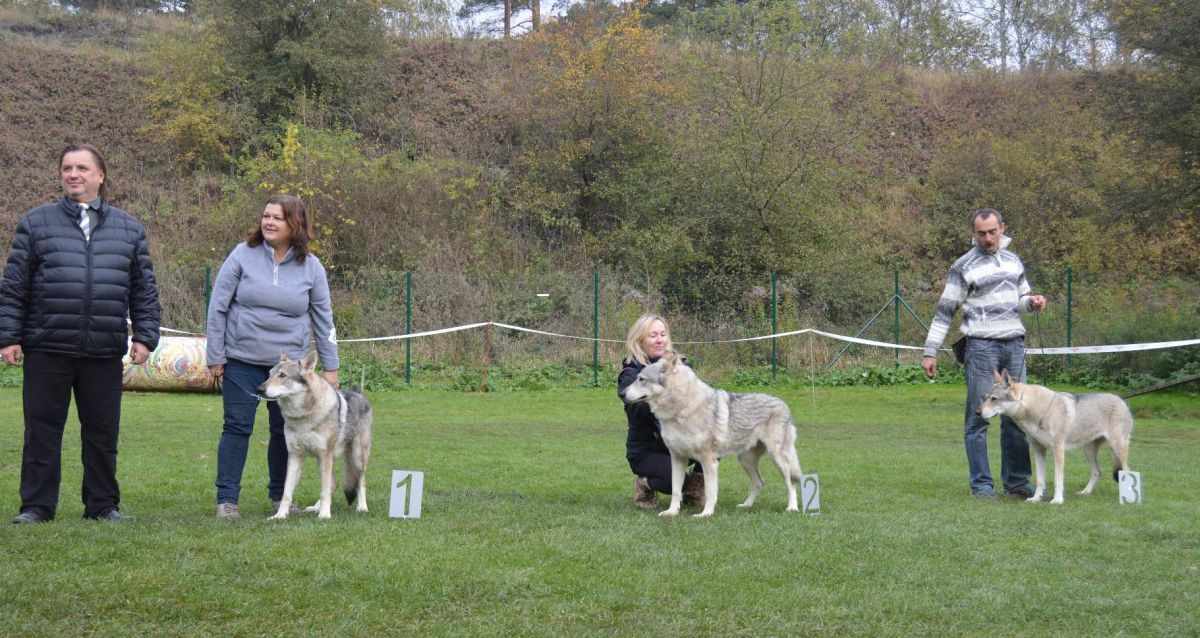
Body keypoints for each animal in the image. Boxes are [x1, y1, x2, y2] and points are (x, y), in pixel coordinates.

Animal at [259, 347, 372, 518]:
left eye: (283, 375)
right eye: (269, 374)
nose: (259, 389)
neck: (302, 418)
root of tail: (358, 392)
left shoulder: (326, 455)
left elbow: (324, 491)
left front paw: (325, 515)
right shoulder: (294, 456)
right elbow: (286, 493)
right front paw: (280, 515)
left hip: (357, 457)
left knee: (361, 482)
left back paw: (362, 507)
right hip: (323, 460)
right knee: (334, 484)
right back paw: (314, 508)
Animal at [979, 369, 1128, 503]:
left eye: (994, 399)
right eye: (986, 398)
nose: (977, 412)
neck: (1039, 411)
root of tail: (1120, 400)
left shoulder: (1058, 450)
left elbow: (1058, 480)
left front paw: (1057, 500)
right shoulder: (1038, 450)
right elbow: (1040, 480)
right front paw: (1036, 498)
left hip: (1117, 449)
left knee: (1126, 471)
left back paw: (1126, 497)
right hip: (1088, 451)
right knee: (1097, 471)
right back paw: (1085, 492)